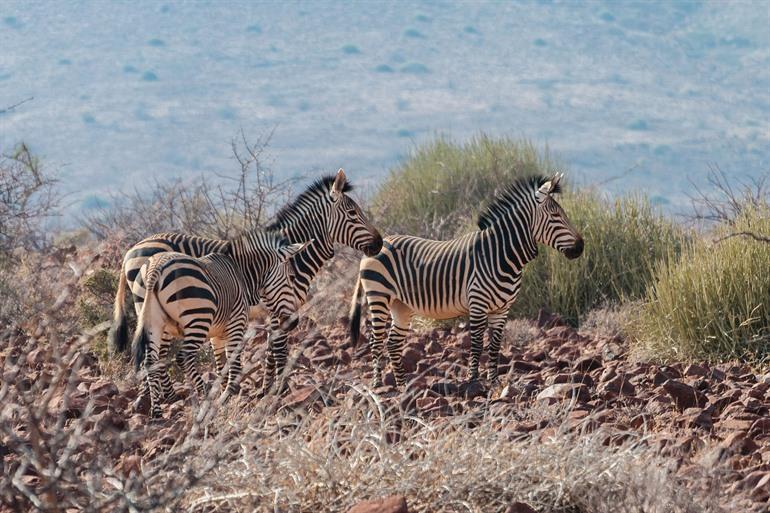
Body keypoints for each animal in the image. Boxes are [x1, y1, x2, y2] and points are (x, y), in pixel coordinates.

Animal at [109, 168, 382, 392]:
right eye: (353, 213)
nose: (379, 244)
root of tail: (129, 252)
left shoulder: (278, 310)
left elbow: (271, 348)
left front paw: (267, 386)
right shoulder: (279, 307)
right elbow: (278, 348)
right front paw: (276, 389)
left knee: (150, 353)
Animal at [132, 232, 310, 418]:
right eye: (292, 277)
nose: (293, 322)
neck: (241, 273)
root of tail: (155, 267)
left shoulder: (217, 333)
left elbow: (221, 363)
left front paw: (224, 394)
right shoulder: (237, 324)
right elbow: (233, 361)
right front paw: (228, 393)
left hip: (155, 324)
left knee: (150, 363)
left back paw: (157, 412)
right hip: (197, 319)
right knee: (183, 357)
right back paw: (204, 395)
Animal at [348, 174, 584, 389]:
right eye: (555, 215)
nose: (581, 247)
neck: (499, 254)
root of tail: (376, 246)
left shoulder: (502, 309)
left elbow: (495, 345)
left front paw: (494, 381)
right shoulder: (478, 304)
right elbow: (477, 344)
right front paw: (473, 381)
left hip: (401, 305)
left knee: (392, 343)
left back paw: (402, 385)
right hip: (379, 297)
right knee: (376, 341)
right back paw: (379, 384)